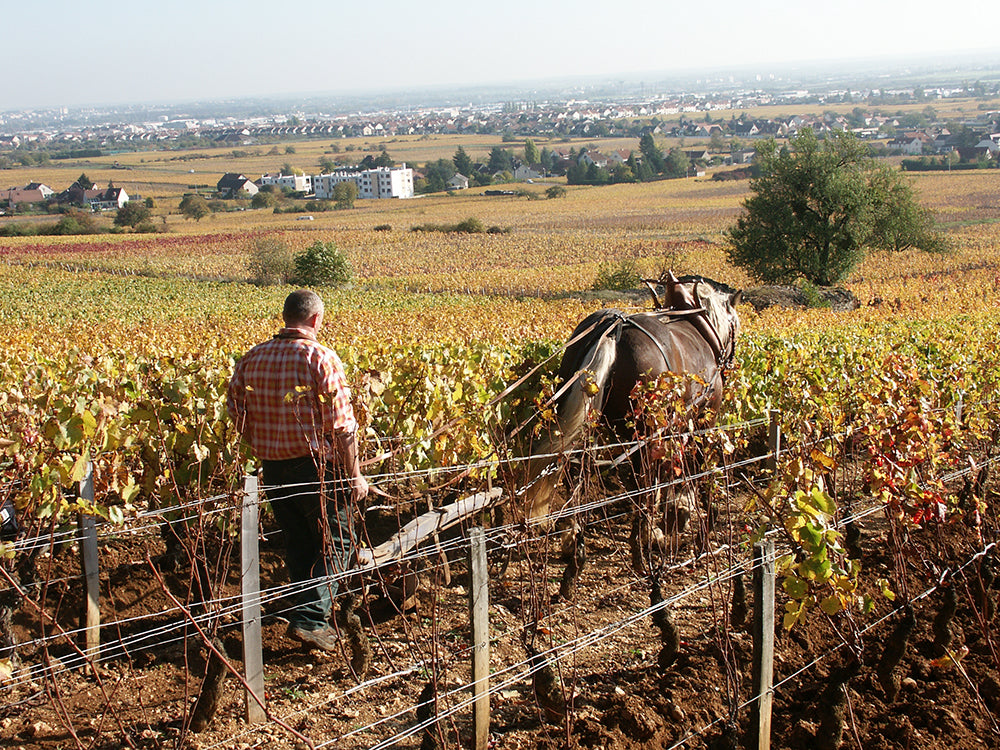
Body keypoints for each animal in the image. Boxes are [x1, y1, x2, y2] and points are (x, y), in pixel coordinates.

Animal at [516, 274, 744, 580]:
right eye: (736, 326)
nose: (729, 363)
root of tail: (615, 329)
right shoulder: (700, 420)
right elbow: (690, 471)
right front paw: (683, 523)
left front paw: (672, 519)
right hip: (641, 433)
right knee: (641, 485)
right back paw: (640, 554)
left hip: (589, 428)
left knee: (578, 476)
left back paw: (574, 552)